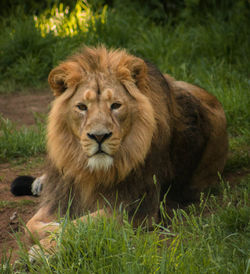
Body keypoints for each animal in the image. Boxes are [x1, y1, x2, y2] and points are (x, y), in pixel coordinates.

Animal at [14, 45, 228, 253]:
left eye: (116, 105)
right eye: (82, 107)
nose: (99, 136)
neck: (92, 172)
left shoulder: (137, 209)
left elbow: (82, 225)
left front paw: (44, 248)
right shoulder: (62, 195)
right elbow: (29, 226)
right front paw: (54, 228)